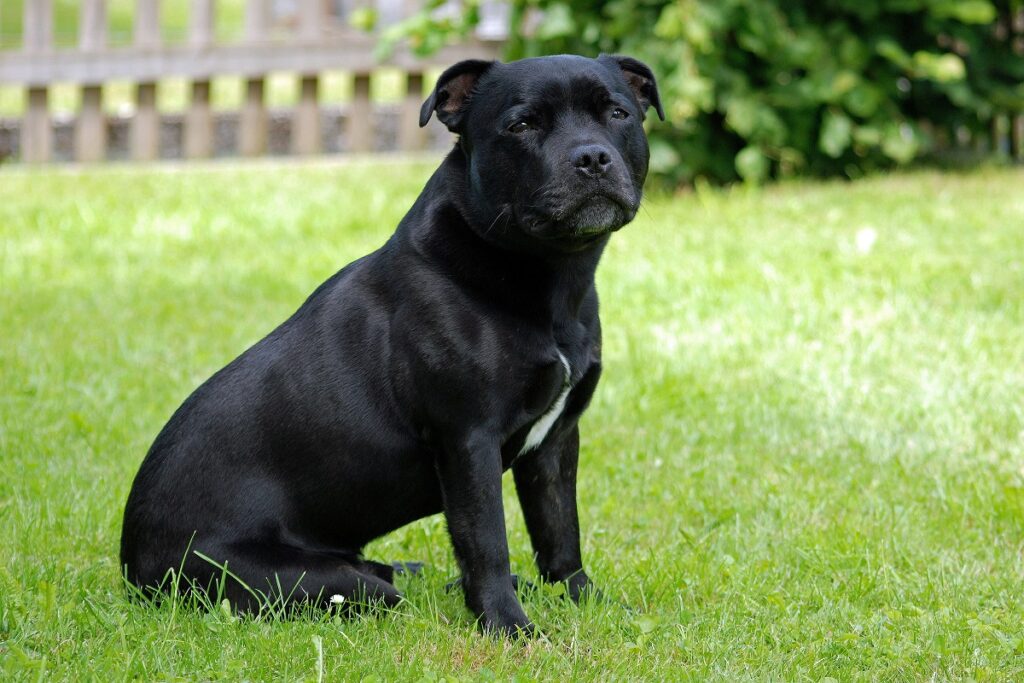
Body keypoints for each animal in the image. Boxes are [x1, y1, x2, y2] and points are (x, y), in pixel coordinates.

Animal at [119, 53, 663, 634]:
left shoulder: (556, 441)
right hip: (324, 584)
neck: (551, 275)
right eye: (521, 125)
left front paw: (586, 602)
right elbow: (486, 541)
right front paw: (507, 627)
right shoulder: (468, 439)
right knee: (375, 589)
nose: (591, 157)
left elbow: (560, 533)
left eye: (617, 113)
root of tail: (134, 566)